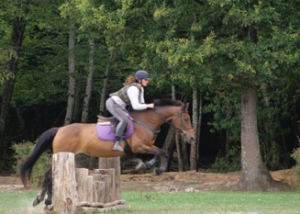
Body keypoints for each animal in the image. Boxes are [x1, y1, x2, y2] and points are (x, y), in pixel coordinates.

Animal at [19, 98, 196, 209]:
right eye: (187, 119)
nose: (192, 138)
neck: (145, 122)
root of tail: (59, 129)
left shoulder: (141, 148)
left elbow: (154, 154)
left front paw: (145, 165)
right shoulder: (140, 146)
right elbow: (163, 152)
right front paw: (157, 169)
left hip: (66, 155)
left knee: (50, 175)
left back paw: (44, 200)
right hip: (64, 153)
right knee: (50, 175)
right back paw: (42, 200)